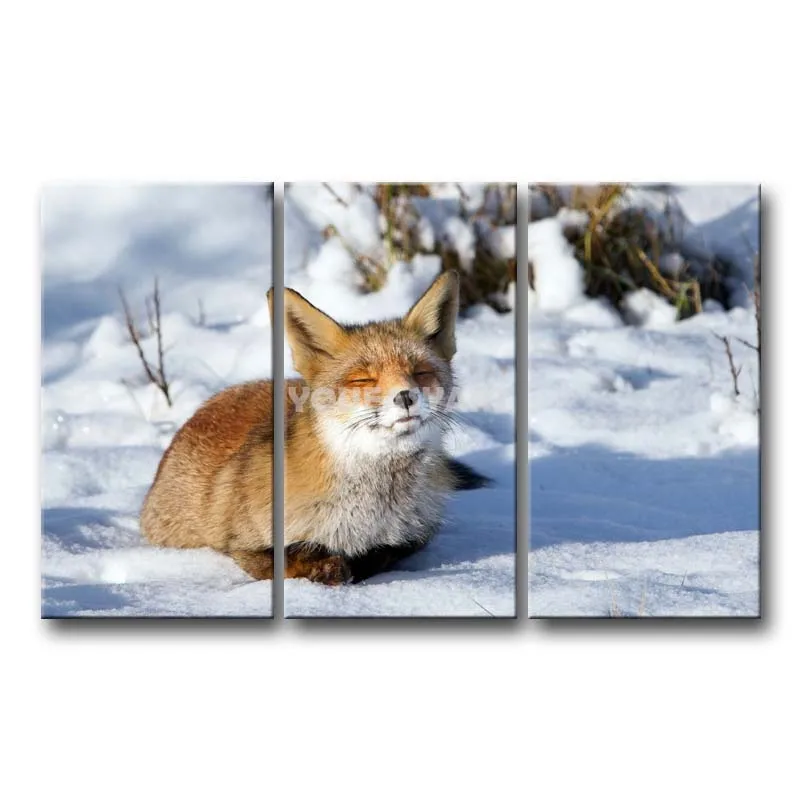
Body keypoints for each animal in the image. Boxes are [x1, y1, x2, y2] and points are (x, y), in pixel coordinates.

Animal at [139, 270, 488, 585]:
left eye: (420, 373)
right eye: (363, 379)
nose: (406, 396)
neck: (369, 509)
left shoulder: (414, 537)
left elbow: (379, 555)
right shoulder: (241, 545)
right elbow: (286, 558)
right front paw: (323, 565)